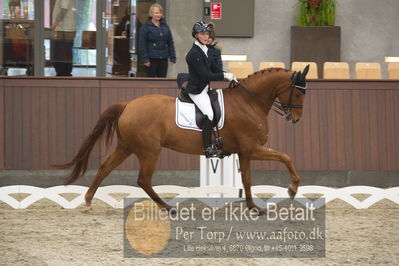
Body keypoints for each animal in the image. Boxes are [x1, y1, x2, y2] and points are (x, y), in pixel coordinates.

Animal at [53, 65, 310, 213]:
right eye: (298, 93)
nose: (296, 119)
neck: (249, 102)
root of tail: (127, 105)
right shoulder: (254, 148)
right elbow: (285, 157)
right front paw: (292, 189)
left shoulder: (245, 152)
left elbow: (246, 180)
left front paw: (253, 207)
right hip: (149, 151)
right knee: (143, 179)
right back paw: (167, 208)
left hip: (126, 146)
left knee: (105, 168)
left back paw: (88, 202)